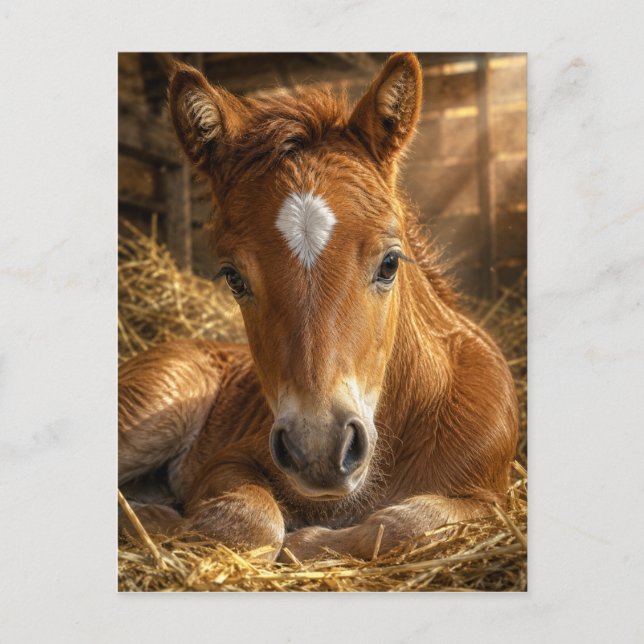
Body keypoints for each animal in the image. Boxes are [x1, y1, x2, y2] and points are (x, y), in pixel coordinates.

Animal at [118, 53, 519, 561]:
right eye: (233, 277)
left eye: (390, 263)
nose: (320, 452)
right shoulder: (228, 460)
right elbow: (249, 521)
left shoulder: (489, 495)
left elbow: (407, 522)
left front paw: (309, 541)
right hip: (156, 403)